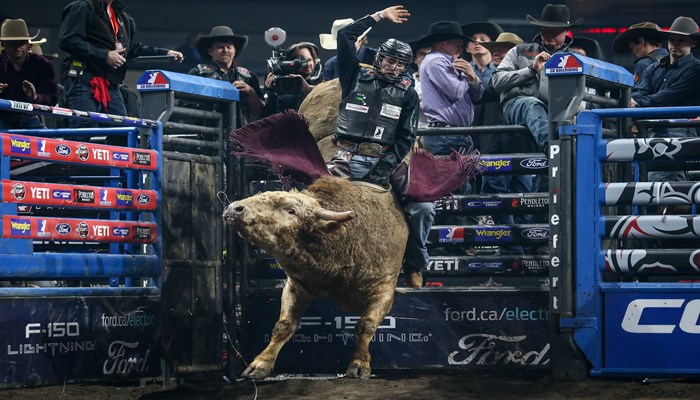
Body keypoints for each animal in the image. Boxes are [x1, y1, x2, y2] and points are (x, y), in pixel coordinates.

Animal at [223, 176, 408, 379]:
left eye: (291, 210)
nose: (235, 208)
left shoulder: (383, 290)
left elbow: (365, 326)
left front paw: (359, 363)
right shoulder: (295, 287)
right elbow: (283, 326)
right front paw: (262, 363)